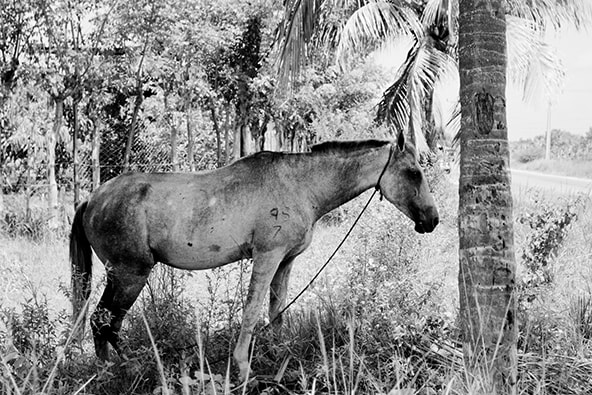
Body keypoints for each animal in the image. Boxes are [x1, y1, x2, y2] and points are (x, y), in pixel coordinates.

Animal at [69, 134, 440, 384]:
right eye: (413, 172)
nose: (432, 220)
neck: (301, 185)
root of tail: (92, 198)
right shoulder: (267, 256)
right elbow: (252, 311)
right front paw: (243, 367)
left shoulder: (285, 261)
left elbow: (276, 311)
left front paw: (279, 354)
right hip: (130, 273)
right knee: (103, 320)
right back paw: (126, 367)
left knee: (103, 322)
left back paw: (107, 371)